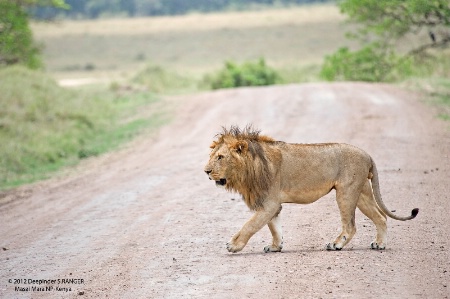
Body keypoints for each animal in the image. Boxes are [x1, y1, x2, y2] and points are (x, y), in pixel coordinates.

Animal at [204, 125, 418, 254]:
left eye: (221, 157)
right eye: (212, 155)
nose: (206, 171)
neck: (248, 169)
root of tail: (367, 155)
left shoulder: (269, 203)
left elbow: (250, 225)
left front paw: (234, 245)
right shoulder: (272, 205)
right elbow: (274, 228)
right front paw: (276, 247)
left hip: (346, 192)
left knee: (350, 225)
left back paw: (336, 244)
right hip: (362, 193)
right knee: (380, 217)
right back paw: (379, 244)